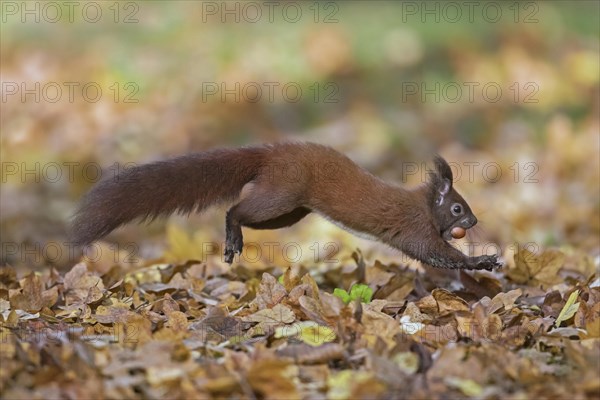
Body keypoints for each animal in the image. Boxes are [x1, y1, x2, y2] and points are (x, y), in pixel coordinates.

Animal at [71, 142, 502, 270]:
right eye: (458, 208)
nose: (475, 220)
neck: (424, 204)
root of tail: (271, 154)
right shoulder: (414, 226)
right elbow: (435, 253)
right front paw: (483, 261)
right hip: (281, 194)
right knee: (236, 210)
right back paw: (232, 238)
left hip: (291, 211)